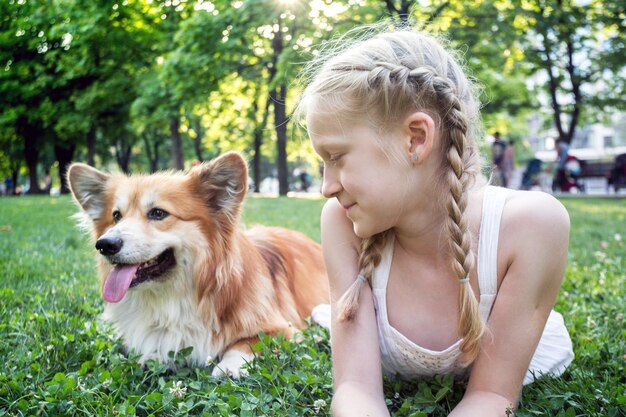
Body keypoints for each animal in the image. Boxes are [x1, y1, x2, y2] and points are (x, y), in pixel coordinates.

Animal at [67, 152, 330, 376]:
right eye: (116, 216)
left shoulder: (283, 329)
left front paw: (230, 366)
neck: (175, 298)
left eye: (158, 213)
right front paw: (154, 358)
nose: (105, 245)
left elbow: (247, 342)